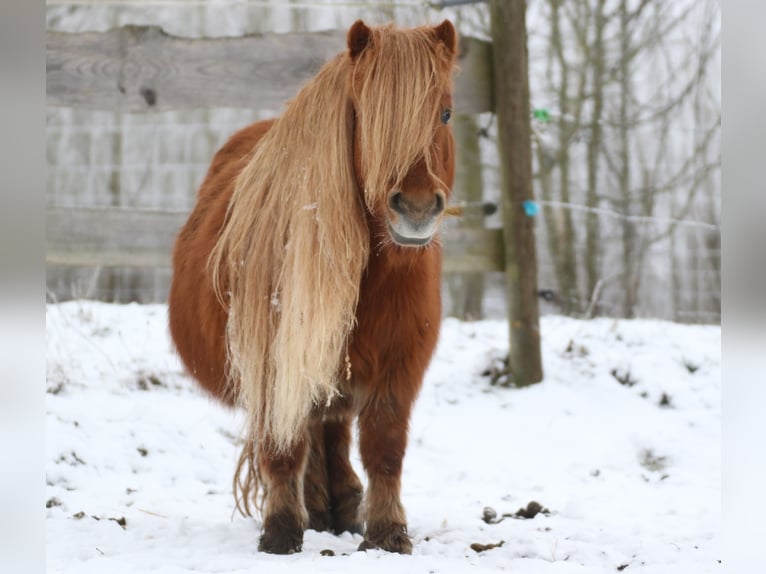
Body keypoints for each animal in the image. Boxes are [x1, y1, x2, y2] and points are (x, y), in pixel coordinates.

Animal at [168, 20, 456, 556]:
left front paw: (387, 533)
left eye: (445, 112)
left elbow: (384, 446)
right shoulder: (274, 359)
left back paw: (339, 506)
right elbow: (284, 445)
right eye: (365, 114)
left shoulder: (400, 363)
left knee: (331, 427)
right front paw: (281, 530)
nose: (416, 207)